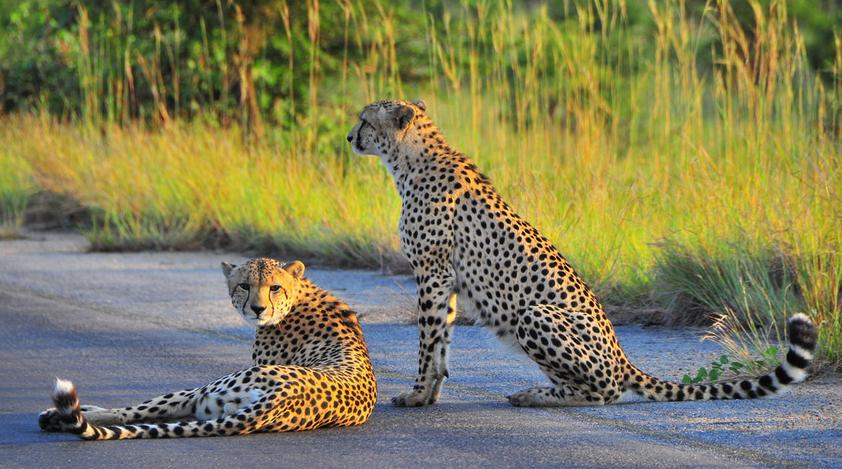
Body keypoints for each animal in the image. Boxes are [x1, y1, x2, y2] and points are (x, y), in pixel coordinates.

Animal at [38, 258, 377, 439]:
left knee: (134, 412)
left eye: (274, 287)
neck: (297, 295)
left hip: (212, 389)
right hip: (214, 405)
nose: (257, 308)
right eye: (244, 285)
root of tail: (283, 398)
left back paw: (60, 416)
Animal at [346, 98, 817, 407]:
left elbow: (428, 342)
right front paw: (429, 395)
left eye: (364, 119)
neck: (411, 159)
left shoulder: (432, 273)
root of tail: (624, 358)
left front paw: (415, 395)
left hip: (535, 316)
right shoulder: (445, 279)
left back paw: (537, 395)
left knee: (605, 392)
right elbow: (441, 341)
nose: (350, 136)